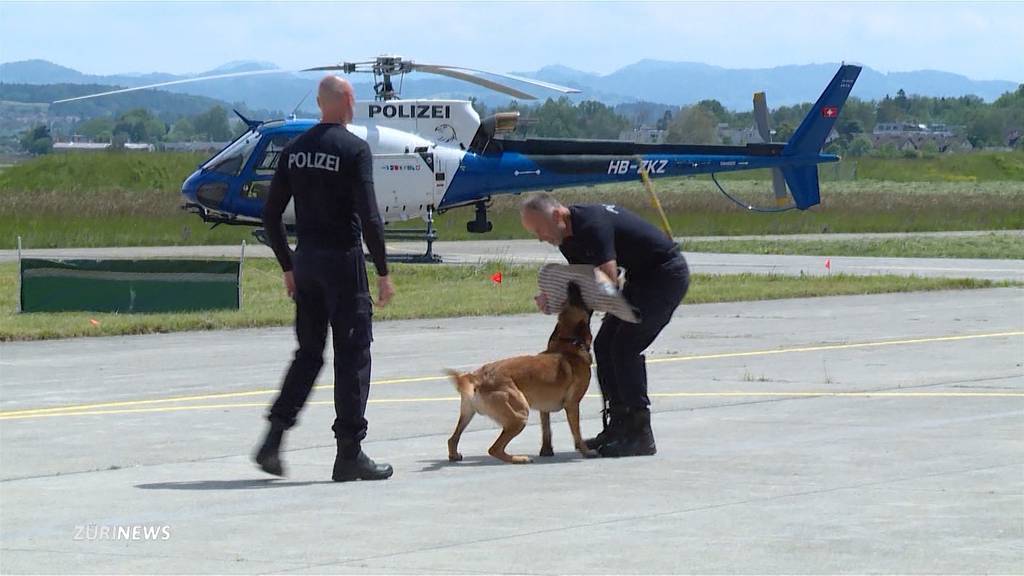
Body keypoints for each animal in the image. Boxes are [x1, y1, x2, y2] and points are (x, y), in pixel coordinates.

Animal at [444, 282, 598, 461]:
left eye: (567, 300)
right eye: (578, 301)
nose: (572, 284)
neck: (567, 344)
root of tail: (477, 377)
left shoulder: (544, 409)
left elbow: (547, 431)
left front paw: (546, 451)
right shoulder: (572, 405)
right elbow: (577, 434)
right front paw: (586, 451)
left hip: (468, 414)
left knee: (452, 439)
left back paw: (455, 455)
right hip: (520, 414)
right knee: (494, 449)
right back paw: (519, 459)